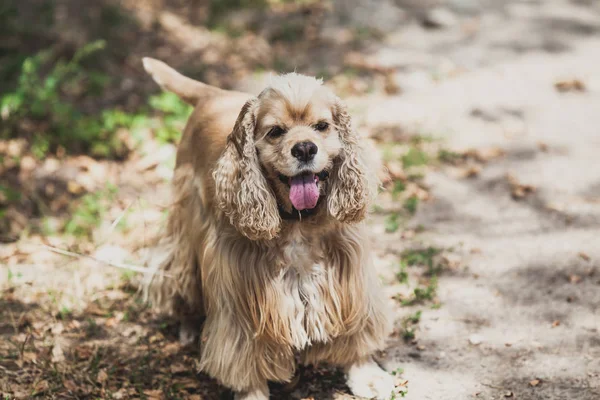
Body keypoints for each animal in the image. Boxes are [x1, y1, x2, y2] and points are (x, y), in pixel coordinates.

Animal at [141, 57, 394, 400]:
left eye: (322, 126)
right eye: (275, 132)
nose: (305, 148)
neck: (297, 221)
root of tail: (213, 94)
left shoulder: (349, 274)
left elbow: (357, 327)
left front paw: (364, 372)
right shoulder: (241, 294)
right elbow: (243, 354)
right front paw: (252, 392)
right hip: (186, 224)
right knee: (180, 274)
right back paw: (189, 326)